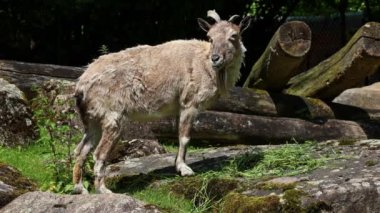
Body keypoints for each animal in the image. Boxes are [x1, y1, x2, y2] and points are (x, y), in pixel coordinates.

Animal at [72, 9, 251, 193]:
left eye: (234, 35)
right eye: (210, 37)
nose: (215, 58)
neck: (203, 63)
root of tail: (81, 86)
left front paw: (177, 166)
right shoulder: (190, 103)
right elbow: (185, 137)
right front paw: (184, 169)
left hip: (92, 119)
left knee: (81, 149)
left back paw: (80, 188)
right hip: (111, 117)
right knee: (99, 153)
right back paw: (103, 189)